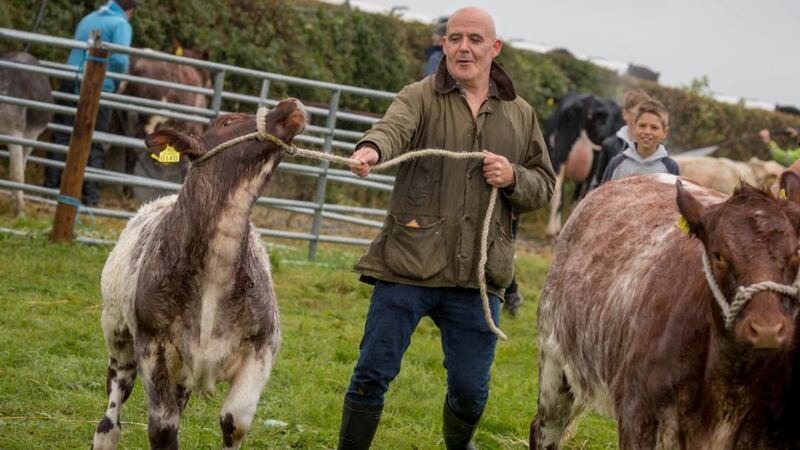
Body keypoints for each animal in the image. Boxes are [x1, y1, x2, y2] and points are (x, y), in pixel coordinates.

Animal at [0, 51, 53, 216]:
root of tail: (24, 53)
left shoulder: (14, 133)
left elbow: (16, 174)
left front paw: (20, 211)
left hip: (31, 137)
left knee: (20, 167)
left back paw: (17, 204)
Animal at [92, 98, 308, 450]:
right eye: (227, 122)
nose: (290, 104)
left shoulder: (264, 343)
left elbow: (234, 420)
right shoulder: (151, 344)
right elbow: (162, 426)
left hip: (182, 372)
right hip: (117, 333)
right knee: (115, 398)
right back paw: (106, 431)